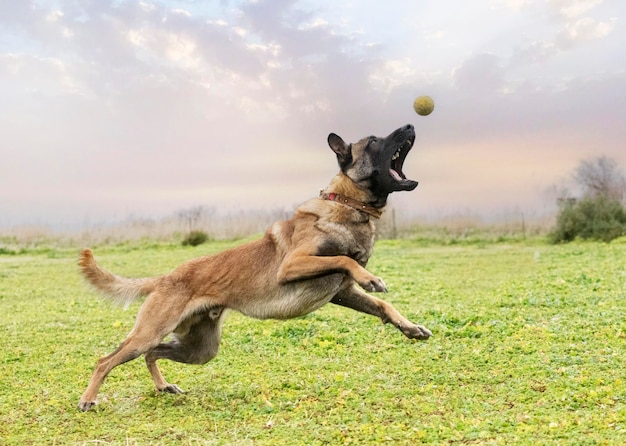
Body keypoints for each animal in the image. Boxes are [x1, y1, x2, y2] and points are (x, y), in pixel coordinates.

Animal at [77, 123, 428, 412]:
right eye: (373, 140)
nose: (411, 124)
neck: (345, 204)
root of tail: (166, 278)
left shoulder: (341, 292)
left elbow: (382, 305)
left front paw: (410, 327)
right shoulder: (293, 265)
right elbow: (345, 260)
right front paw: (370, 277)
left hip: (200, 349)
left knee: (152, 354)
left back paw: (163, 386)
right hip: (149, 333)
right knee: (105, 360)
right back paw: (88, 399)